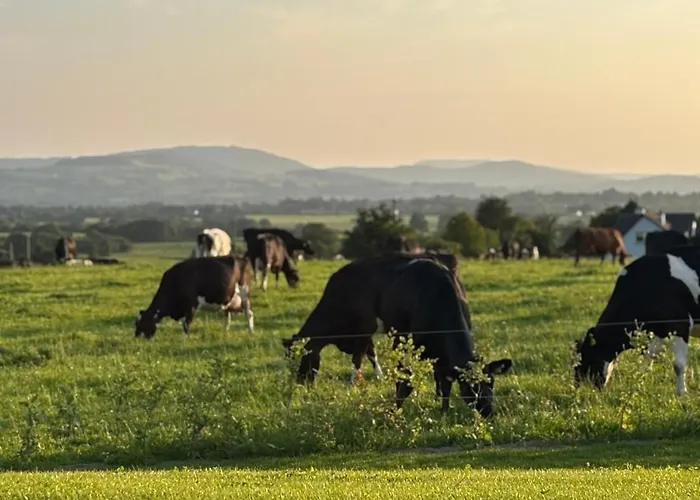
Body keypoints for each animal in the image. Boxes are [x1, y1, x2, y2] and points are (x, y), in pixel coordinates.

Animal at [281, 251, 470, 387]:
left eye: (303, 357)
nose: (299, 384)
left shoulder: (365, 328)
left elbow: (359, 357)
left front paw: (355, 383)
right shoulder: (364, 332)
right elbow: (372, 353)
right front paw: (380, 377)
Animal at [382, 258, 512, 416]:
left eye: (491, 382)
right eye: (470, 387)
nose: (488, 411)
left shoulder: (445, 358)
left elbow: (446, 385)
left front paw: (444, 411)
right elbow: (406, 384)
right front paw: (396, 410)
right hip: (398, 338)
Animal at [574, 252, 700, 395]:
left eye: (586, 359)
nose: (581, 391)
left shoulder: (680, 325)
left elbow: (678, 364)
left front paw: (681, 393)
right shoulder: (657, 333)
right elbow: (647, 359)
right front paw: (637, 387)